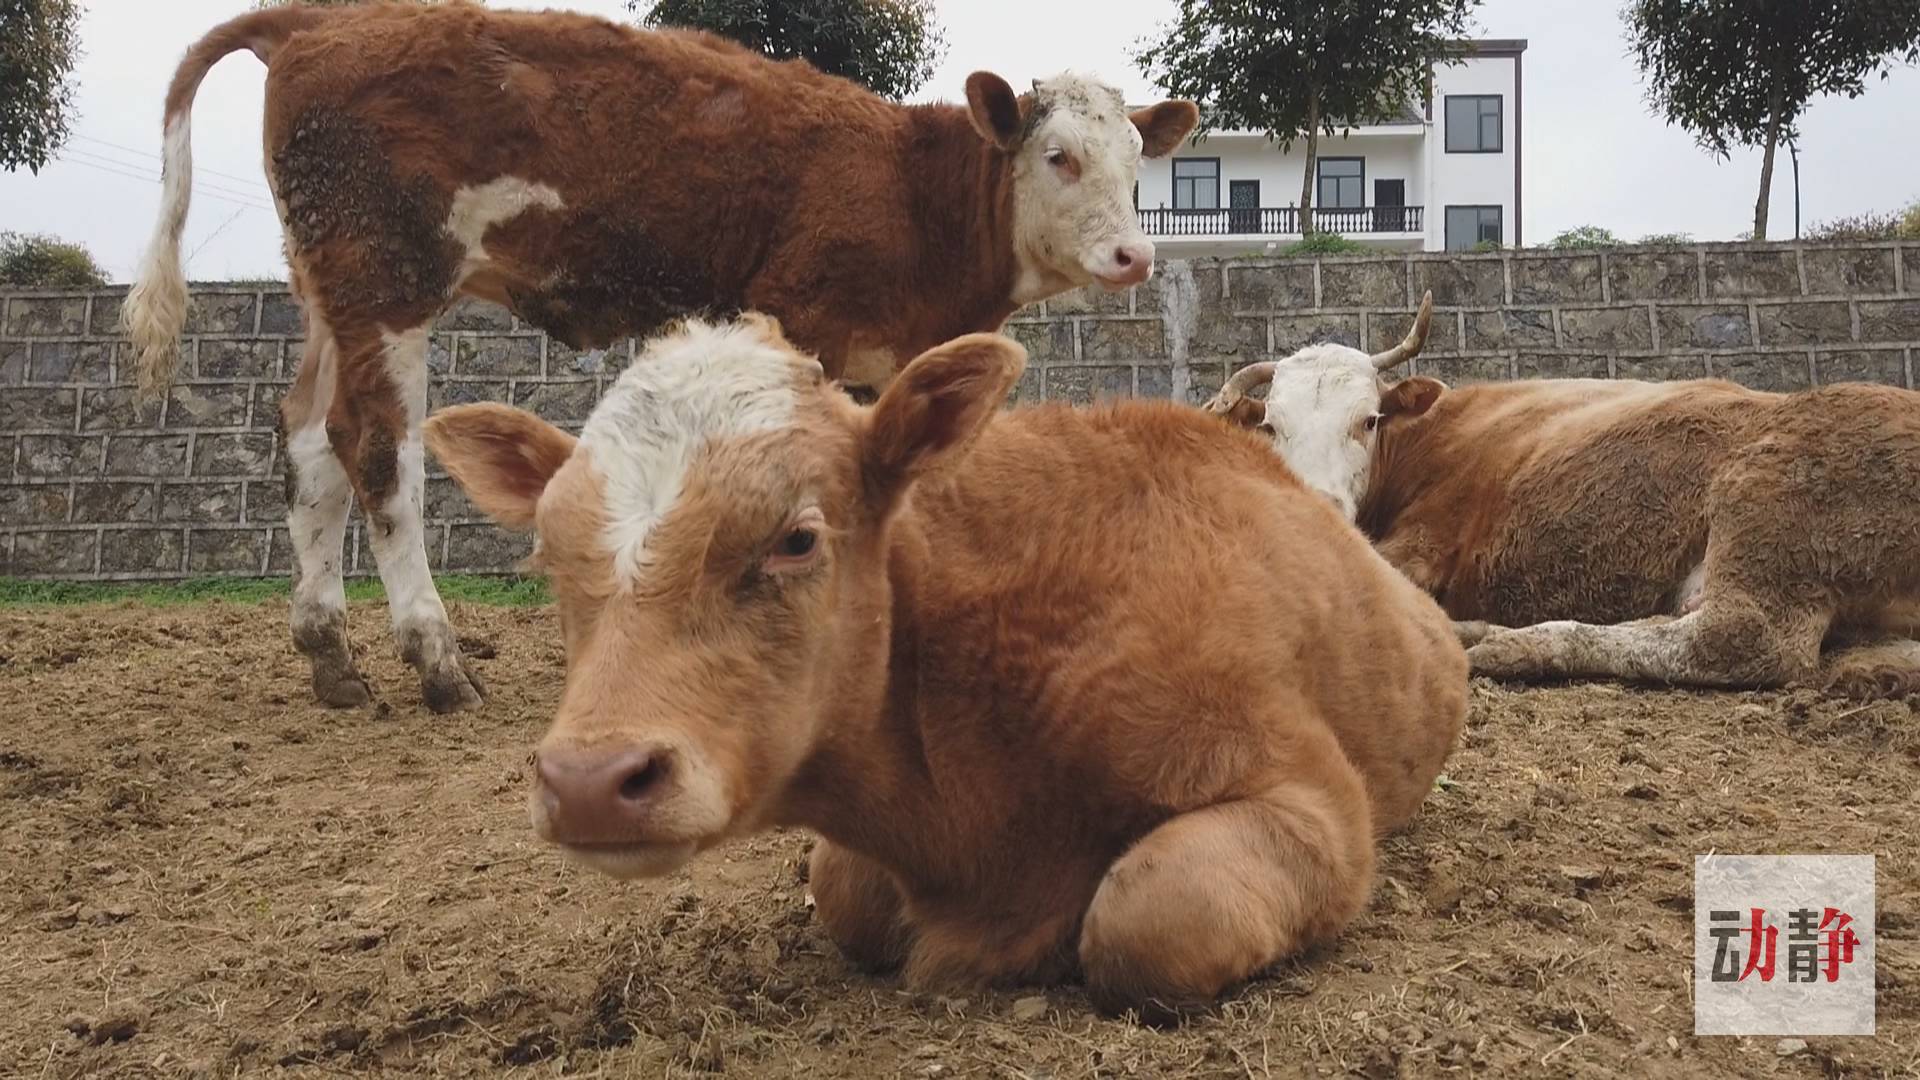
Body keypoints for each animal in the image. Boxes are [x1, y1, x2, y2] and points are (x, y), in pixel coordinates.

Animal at [120, 2, 1190, 714]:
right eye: (1058, 157)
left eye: (1140, 167)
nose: (1135, 256)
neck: (910, 187)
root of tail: (316, 22)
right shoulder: (801, 317)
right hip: (388, 281)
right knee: (376, 451)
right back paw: (436, 657)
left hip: (330, 295)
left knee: (307, 447)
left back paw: (330, 653)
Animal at [424, 311, 1466, 1014]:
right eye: (547, 550)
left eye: (797, 538)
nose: (590, 780)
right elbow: (844, 896)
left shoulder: (1315, 801)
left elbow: (1148, 918)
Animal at [1205, 294, 1920, 699]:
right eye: (1271, 425)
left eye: (1369, 420)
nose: (1318, 508)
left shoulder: (1424, 543)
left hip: (1766, 510)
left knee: (1736, 639)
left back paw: (1503, 644)